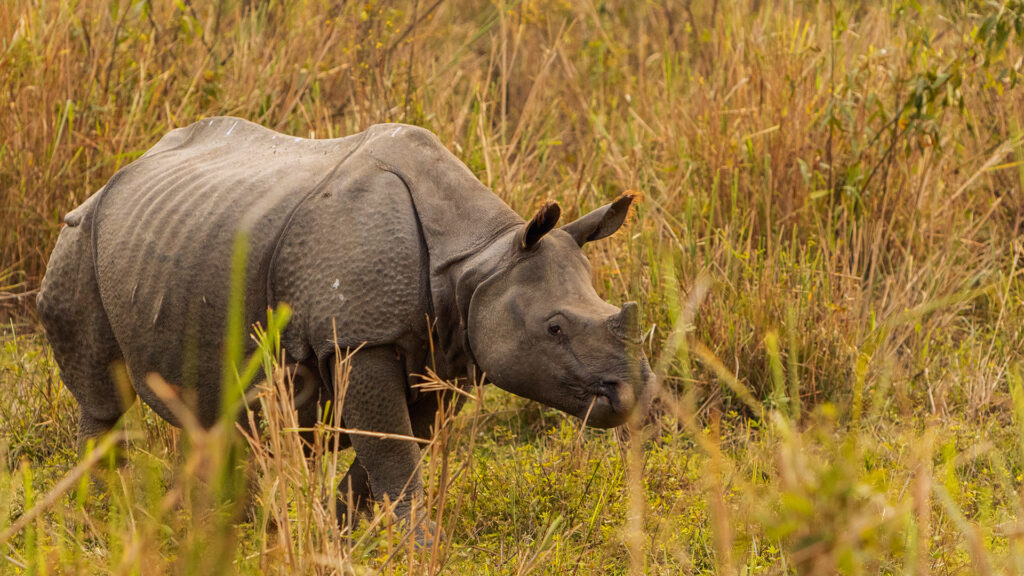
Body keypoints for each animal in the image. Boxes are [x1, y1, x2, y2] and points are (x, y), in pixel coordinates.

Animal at [37, 117, 653, 531]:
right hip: (79, 238)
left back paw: (227, 529)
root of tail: (120, 171)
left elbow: (395, 446)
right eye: (554, 329)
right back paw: (103, 518)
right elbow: (391, 449)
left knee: (220, 414)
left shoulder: (446, 352)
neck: (480, 260)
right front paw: (419, 543)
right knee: (104, 395)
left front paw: (342, 532)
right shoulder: (359, 336)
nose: (631, 395)